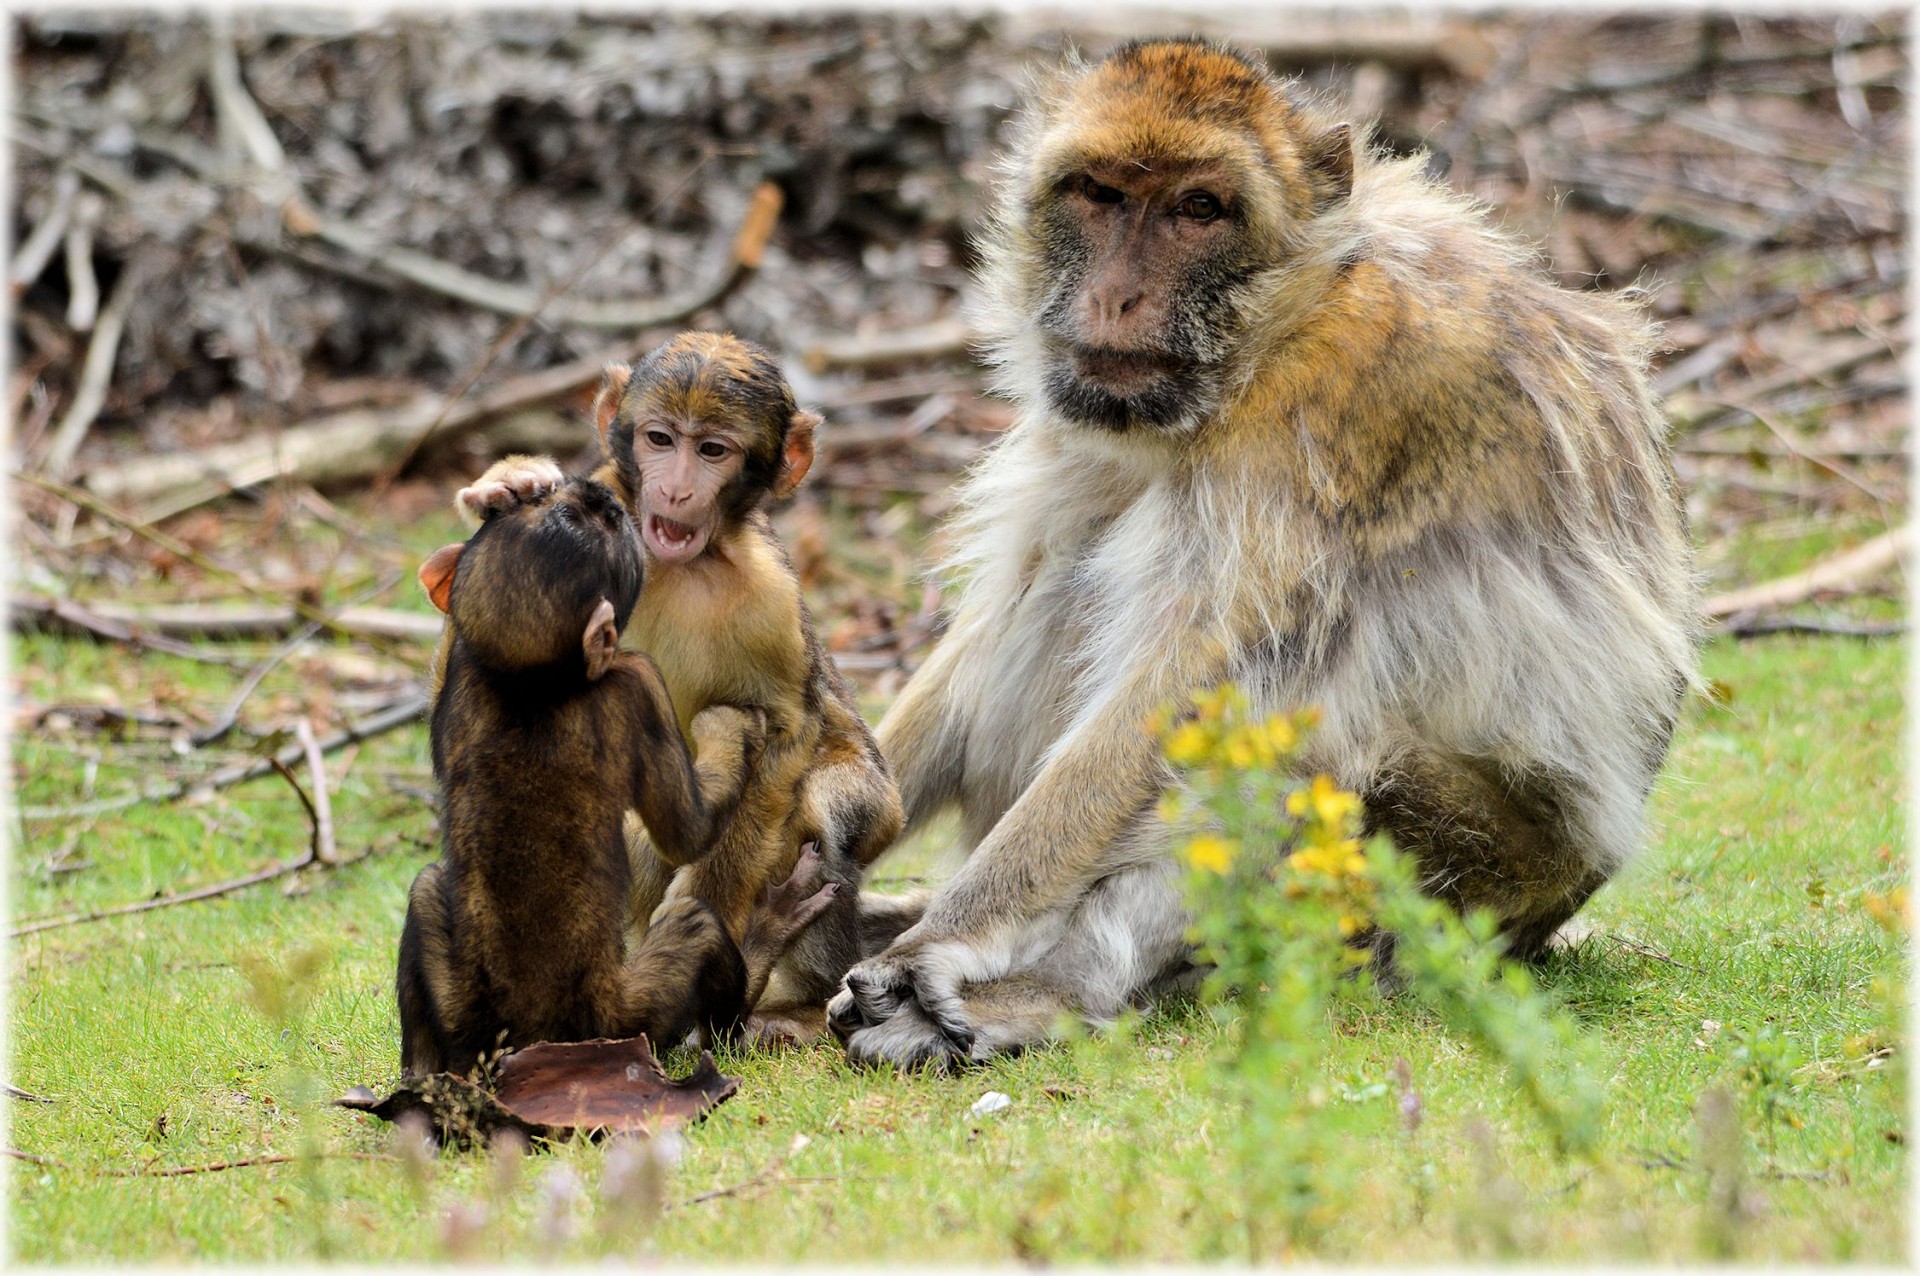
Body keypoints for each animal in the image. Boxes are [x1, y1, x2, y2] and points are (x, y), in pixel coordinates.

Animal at [397, 475, 833, 1074]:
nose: (601, 497)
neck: (530, 681)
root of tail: (522, 1041)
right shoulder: (636, 682)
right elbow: (686, 832)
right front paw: (727, 725)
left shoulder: (469, 676)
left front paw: (502, 491)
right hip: (618, 1019)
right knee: (694, 928)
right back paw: (753, 977)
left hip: (469, 1018)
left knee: (426, 888)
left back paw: (420, 1074)